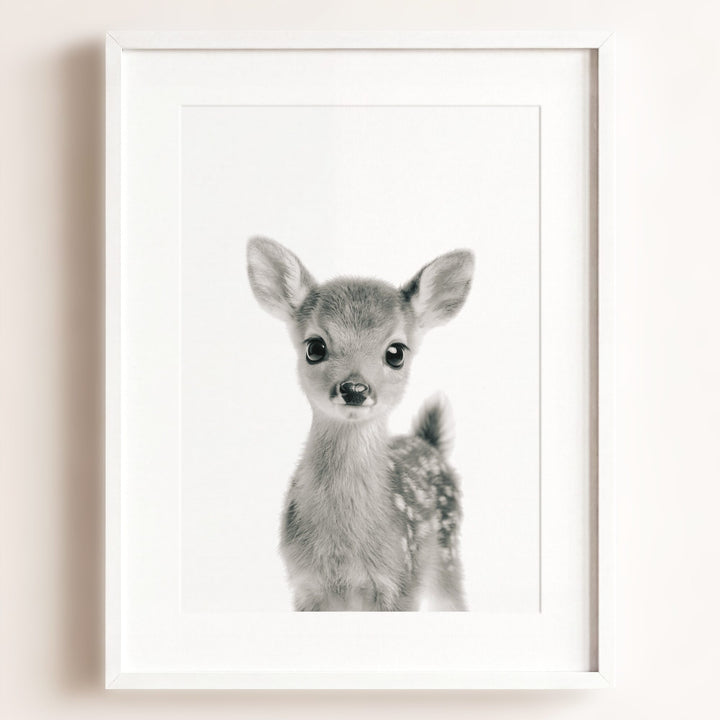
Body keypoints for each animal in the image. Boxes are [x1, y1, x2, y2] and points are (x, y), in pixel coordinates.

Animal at [246, 237, 474, 611]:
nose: (354, 388)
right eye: (315, 347)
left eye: (396, 352)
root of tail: (429, 442)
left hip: (447, 555)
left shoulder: (401, 581)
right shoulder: (304, 585)